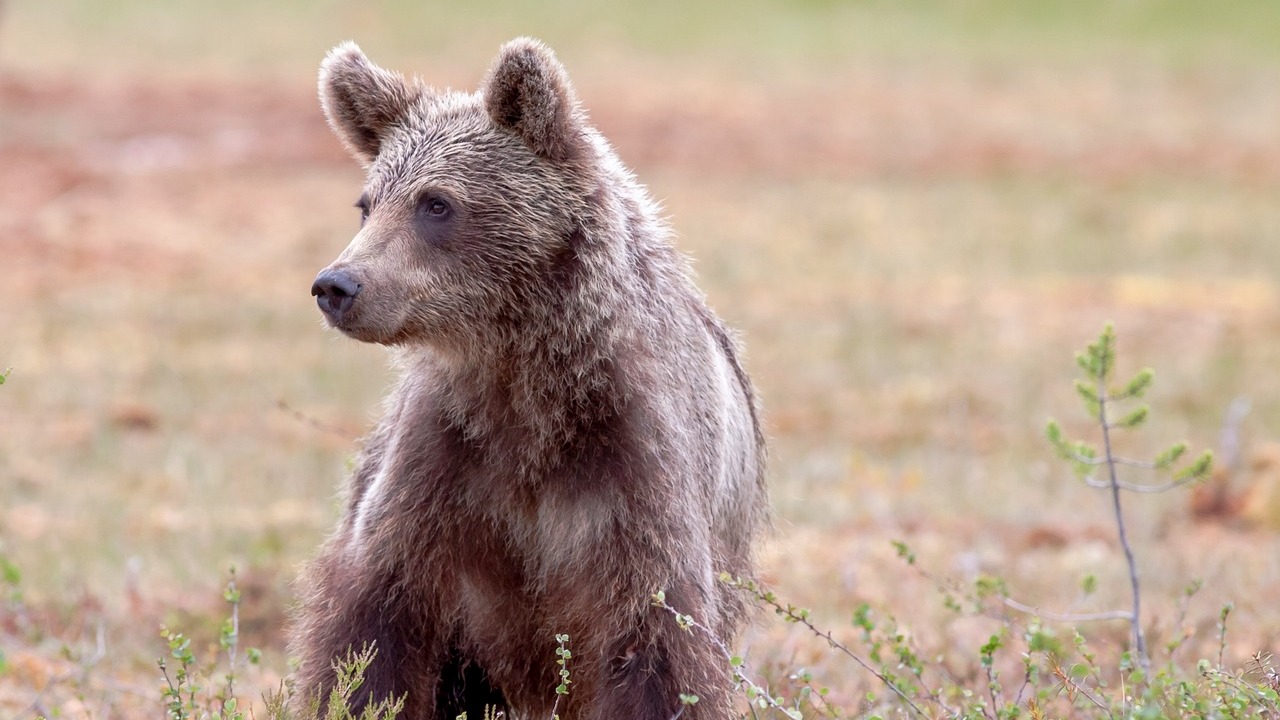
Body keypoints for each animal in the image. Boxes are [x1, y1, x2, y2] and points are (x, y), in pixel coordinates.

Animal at [294, 37, 762, 717]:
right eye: (367, 204)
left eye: (436, 202)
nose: (337, 285)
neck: (528, 382)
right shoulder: (443, 467)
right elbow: (374, 630)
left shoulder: (634, 470)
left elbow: (657, 646)